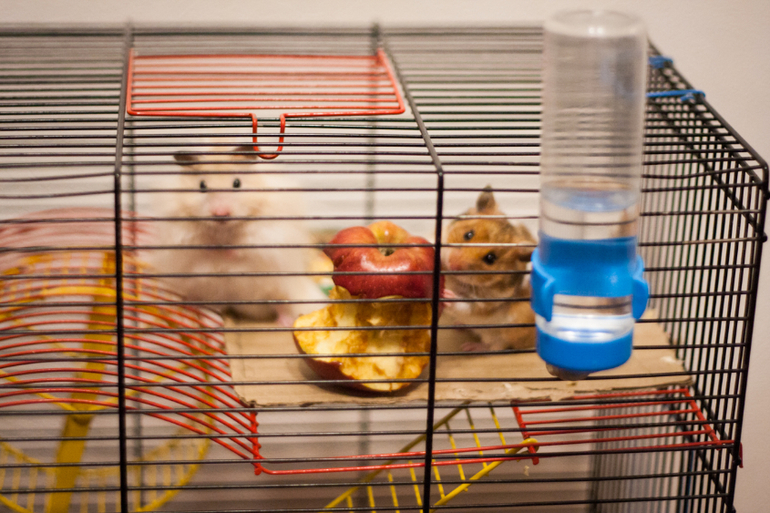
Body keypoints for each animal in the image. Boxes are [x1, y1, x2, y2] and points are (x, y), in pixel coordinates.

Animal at [146, 144, 327, 324]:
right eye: (202, 185)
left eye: (237, 183)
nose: (221, 214)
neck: (224, 229)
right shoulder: (182, 235)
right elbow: (204, 246)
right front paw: (217, 250)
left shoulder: (265, 235)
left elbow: (242, 248)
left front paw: (227, 252)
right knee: (213, 307)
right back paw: (209, 318)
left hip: (281, 286)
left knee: (281, 306)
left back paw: (285, 321)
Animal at [441, 186, 537, 351]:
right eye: (468, 234)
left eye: (490, 258)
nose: (453, 264)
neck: (455, 280)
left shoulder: (484, 304)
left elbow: (464, 306)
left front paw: (446, 295)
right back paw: (458, 326)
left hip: (511, 329)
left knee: (495, 346)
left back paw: (470, 347)